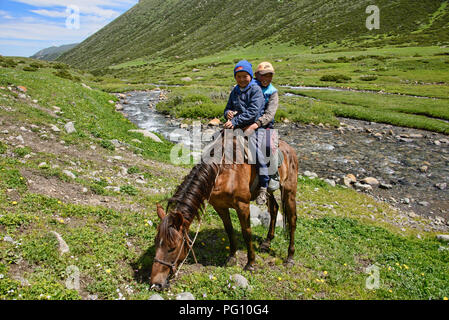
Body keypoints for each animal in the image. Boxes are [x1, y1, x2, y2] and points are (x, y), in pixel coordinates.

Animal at [150, 134, 298, 288]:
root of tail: (289, 149)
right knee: (274, 208)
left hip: (289, 191)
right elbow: (229, 230)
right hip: (269, 193)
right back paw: (267, 242)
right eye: (156, 241)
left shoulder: (242, 206)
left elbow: (247, 233)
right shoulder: (219, 206)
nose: (156, 283)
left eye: (173, 248)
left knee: (292, 220)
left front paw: (250, 263)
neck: (223, 173)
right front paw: (232, 257)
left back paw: (290, 257)